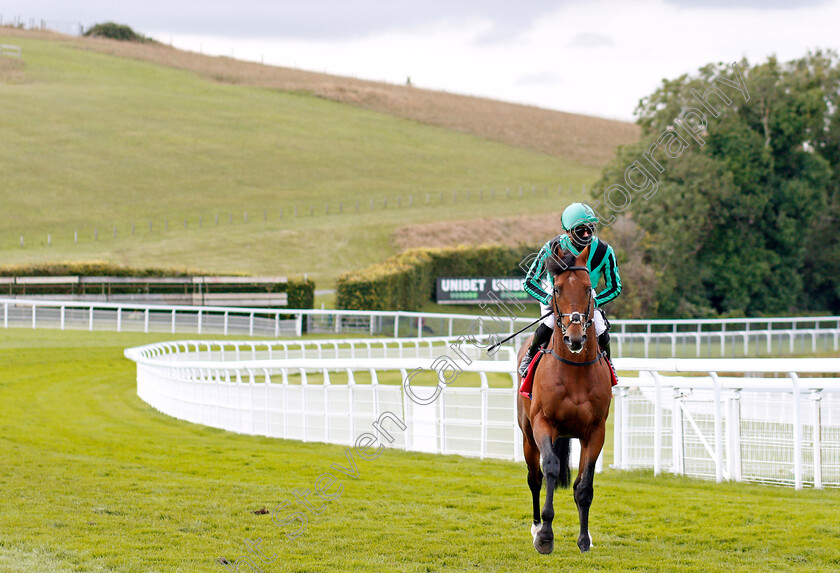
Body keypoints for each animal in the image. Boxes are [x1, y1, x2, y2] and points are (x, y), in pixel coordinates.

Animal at [516, 244, 612, 552]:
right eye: (556, 288)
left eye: (588, 288)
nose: (574, 337)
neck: (575, 371)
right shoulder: (543, 423)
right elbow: (550, 469)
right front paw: (545, 535)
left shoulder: (595, 431)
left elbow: (583, 486)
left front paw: (584, 538)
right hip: (527, 434)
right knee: (534, 478)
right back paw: (536, 527)